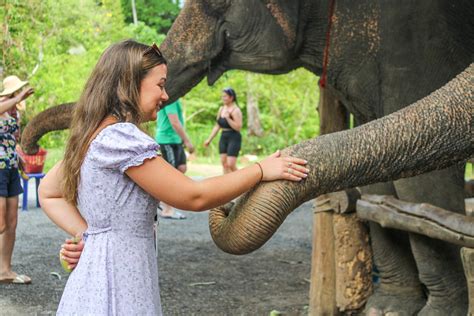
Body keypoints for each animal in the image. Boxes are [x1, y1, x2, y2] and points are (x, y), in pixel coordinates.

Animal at [23, 1, 474, 314]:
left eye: (215, 3)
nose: (28, 148)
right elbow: (381, 188)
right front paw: (389, 309)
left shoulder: (414, 38)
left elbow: (420, 187)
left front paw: (428, 312)